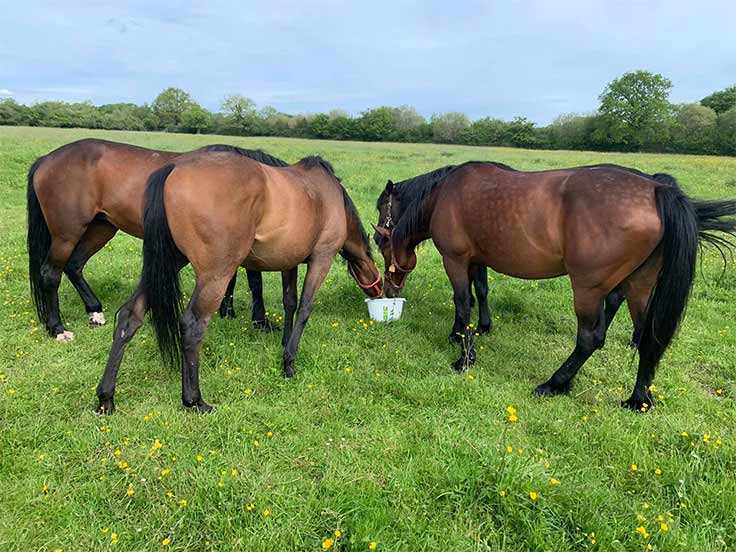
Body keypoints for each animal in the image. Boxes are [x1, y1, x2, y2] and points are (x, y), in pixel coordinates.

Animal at [28, 139, 282, 340]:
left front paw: (227, 312)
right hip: (66, 235)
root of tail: (46, 160)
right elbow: (255, 282)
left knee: (74, 265)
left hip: (101, 228)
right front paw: (261, 322)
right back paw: (58, 329)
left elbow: (233, 280)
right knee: (50, 273)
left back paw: (95, 312)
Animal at [95, 151, 382, 414]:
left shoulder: (289, 262)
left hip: (167, 264)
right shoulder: (322, 259)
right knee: (193, 325)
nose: (381, 290)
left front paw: (284, 342)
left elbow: (289, 302)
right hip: (215, 276)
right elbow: (304, 308)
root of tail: (173, 170)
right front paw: (289, 363)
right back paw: (195, 400)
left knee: (130, 315)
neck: (327, 195)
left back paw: (106, 397)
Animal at [376, 161, 736, 410]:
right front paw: (471, 331)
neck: (443, 195)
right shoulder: (477, 260)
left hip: (589, 289)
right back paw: (638, 400)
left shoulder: (455, 259)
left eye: (381, 234)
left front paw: (464, 357)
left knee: (591, 338)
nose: (388, 291)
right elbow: (480, 294)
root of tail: (656, 190)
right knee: (648, 337)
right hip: (640, 286)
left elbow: (462, 301)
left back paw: (554, 383)